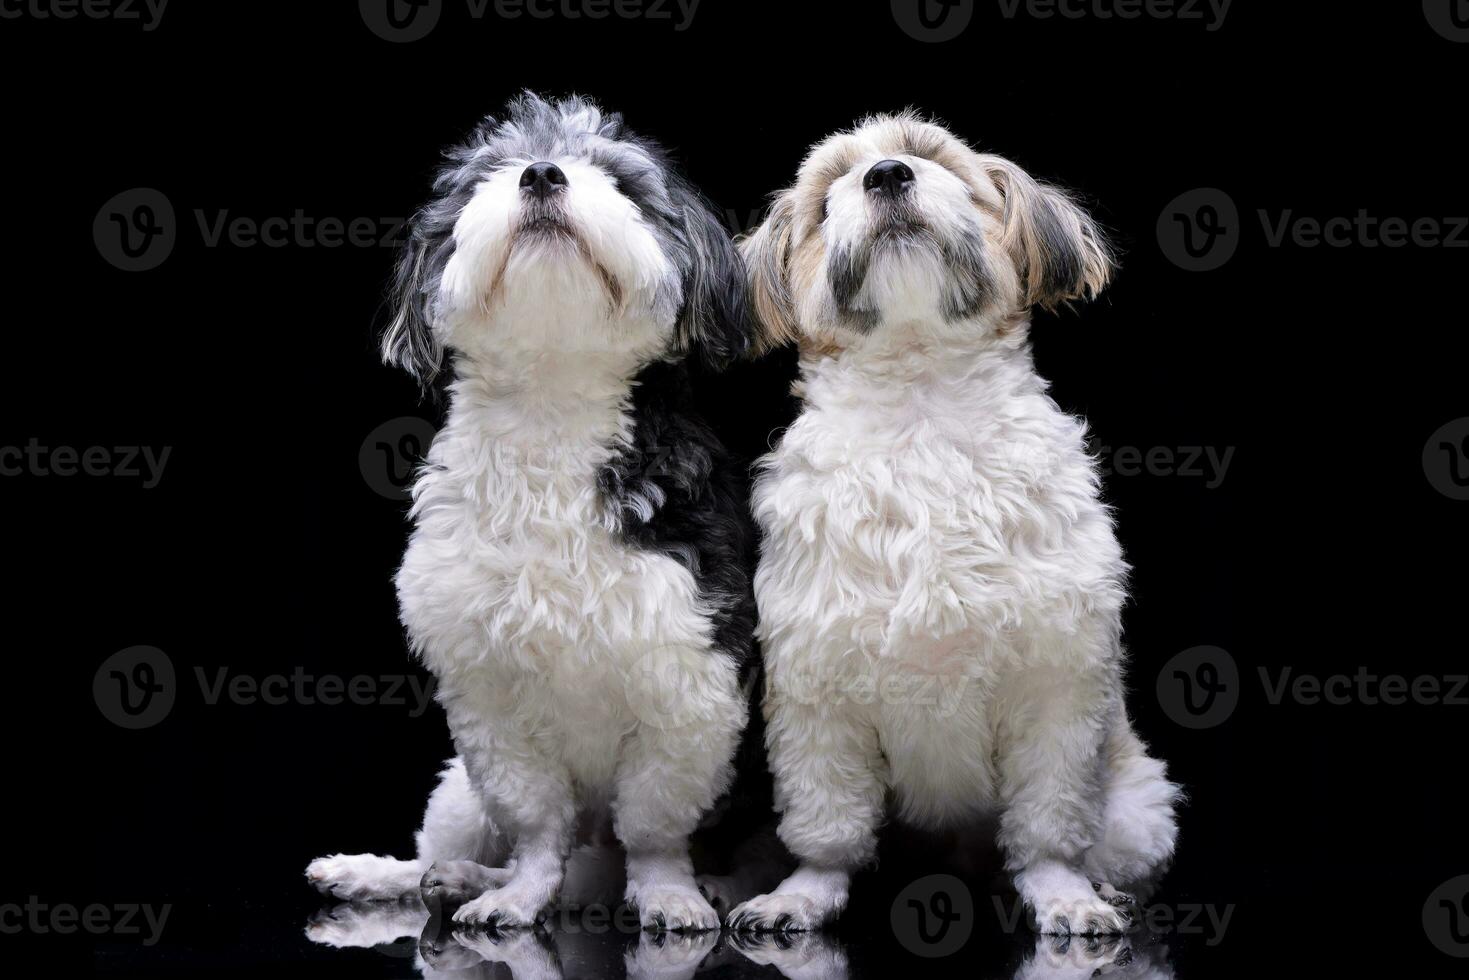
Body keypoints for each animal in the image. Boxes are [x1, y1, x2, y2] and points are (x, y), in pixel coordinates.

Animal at [308, 91, 758, 934]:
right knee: (464, 844)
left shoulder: (690, 683)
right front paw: (517, 895)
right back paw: (413, 875)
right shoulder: (489, 700)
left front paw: (670, 894)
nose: (543, 173)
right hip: (458, 788)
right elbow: (536, 823)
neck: (551, 407)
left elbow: (654, 825)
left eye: (619, 179)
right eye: (491, 172)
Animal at [731, 115, 1181, 934]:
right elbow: (826, 823)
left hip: (1137, 809)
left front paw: (1062, 892)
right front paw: (806, 892)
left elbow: (1048, 821)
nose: (886, 174)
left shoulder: (1057, 691)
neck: (924, 417)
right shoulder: (816, 699)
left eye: (934, 161)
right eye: (826, 199)